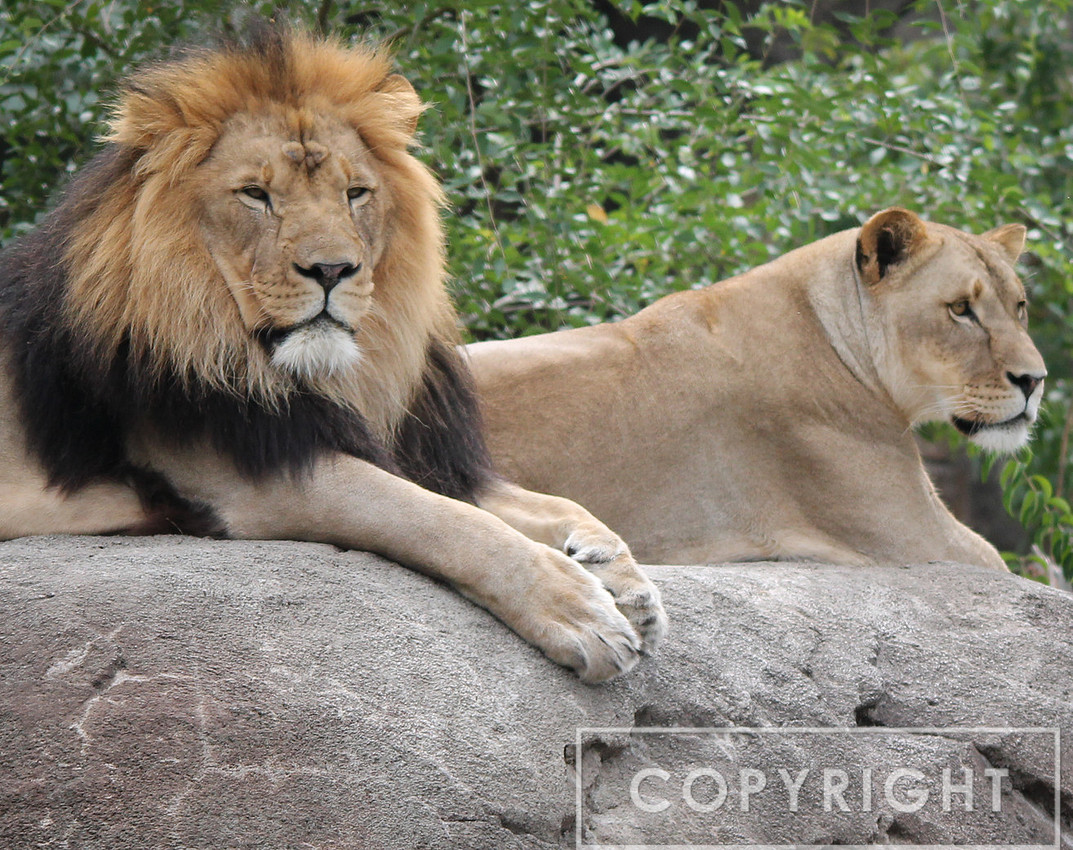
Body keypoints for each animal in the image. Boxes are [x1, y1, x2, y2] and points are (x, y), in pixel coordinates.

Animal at [0, 23, 666, 682]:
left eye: (355, 193)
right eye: (255, 194)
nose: (331, 270)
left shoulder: (414, 447)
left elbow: (540, 501)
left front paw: (617, 571)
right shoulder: (250, 471)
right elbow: (439, 518)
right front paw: (577, 609)